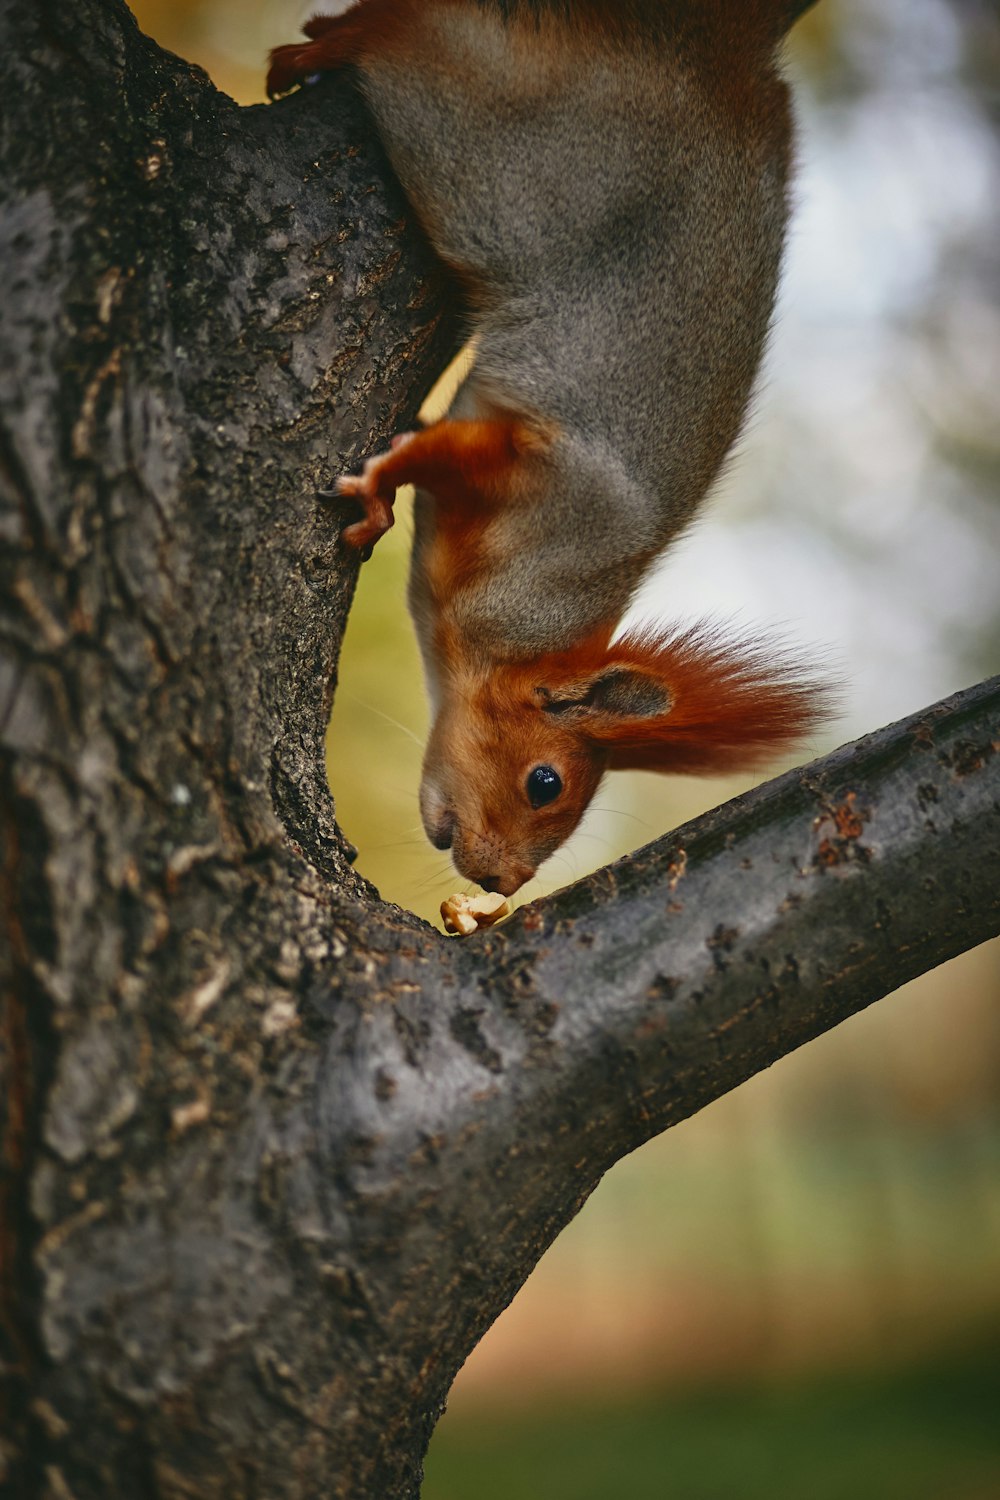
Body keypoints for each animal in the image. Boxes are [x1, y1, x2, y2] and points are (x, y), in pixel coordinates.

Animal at [268, 0, 827, 894]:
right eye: (544, 782)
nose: (504, 884)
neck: (532, 616)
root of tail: (718, 61)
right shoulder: (542, 475)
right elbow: (439, 453)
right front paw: (380, 492)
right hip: (509, 166)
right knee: (420, 45)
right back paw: (343, 40)